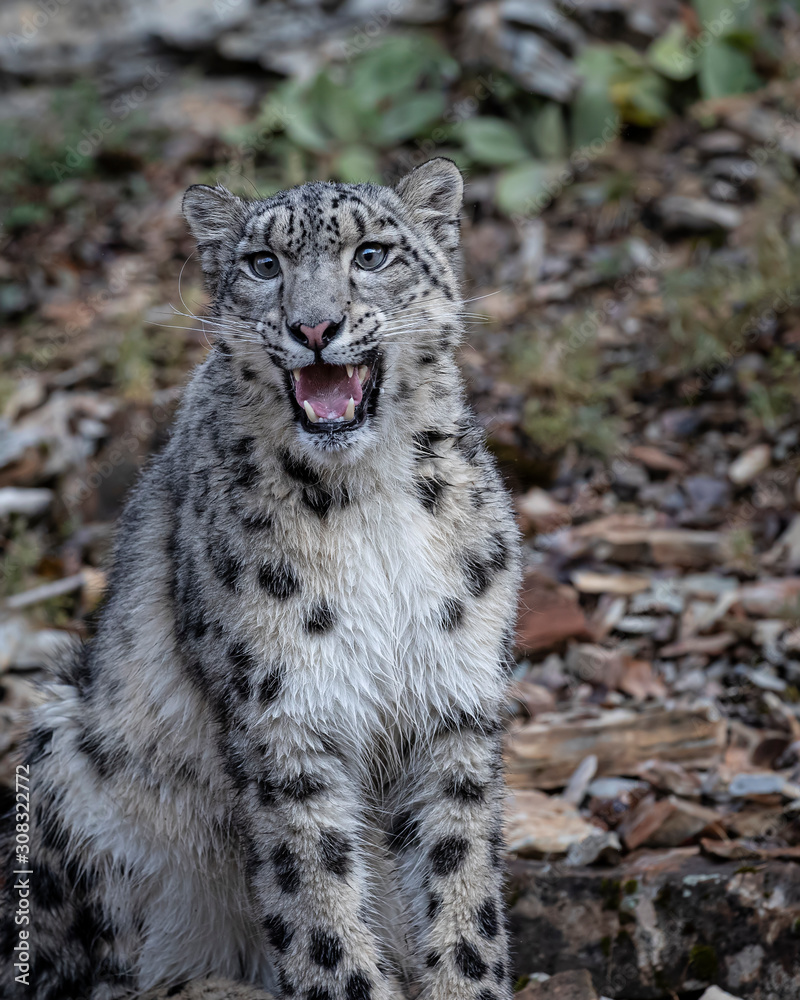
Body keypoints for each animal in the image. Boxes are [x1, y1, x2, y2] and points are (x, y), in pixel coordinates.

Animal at [0, 157, 521, 1000]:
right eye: (262, 265)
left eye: (371, 254)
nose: (313, 328)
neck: (370, 501)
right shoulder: (285, 714)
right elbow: (319, 906)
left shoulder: (453, 701)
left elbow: (460, 885)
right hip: (65, 754)